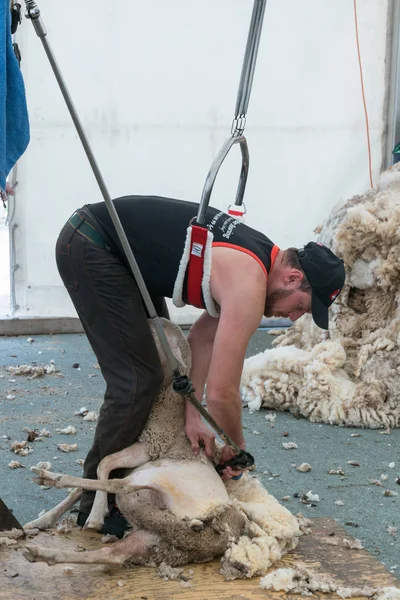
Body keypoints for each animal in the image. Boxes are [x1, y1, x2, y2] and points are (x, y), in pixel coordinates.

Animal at [21, 318, 296, 576]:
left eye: (155, 336)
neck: (167, 400)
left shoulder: (148, 446)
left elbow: (103, 465)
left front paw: (95, 514)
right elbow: (86, 483)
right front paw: (41, 520)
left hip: (153, 482)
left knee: (118, 485)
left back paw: (51, 479)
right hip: (152, 537)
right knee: (113, 554)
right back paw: (39, 553)